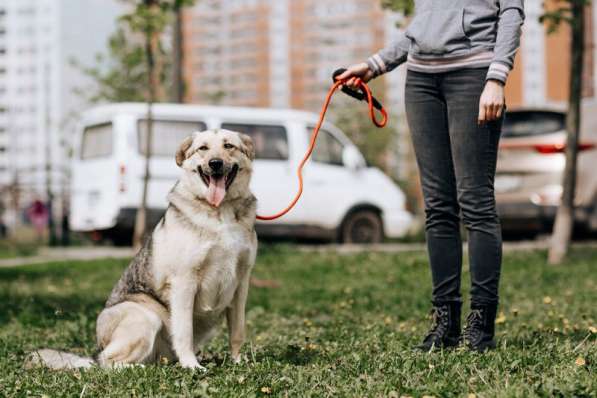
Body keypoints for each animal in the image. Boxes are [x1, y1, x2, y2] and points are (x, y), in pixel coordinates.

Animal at [32, 130, 256, 370]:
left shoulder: (241, 284)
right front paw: (191, 366)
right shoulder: (185, 282)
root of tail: (95, 352)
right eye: (203, 148)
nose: (215, 163)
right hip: (145, 316)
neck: (220, 212)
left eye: (228, 146)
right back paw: (139, 368)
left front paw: (238, 362)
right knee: (107, 362)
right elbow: (184, 331)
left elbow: (238, 331)